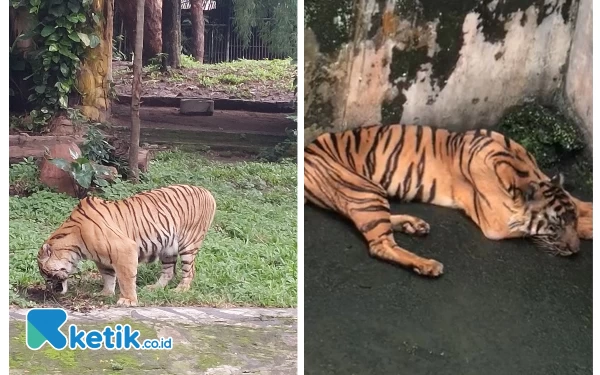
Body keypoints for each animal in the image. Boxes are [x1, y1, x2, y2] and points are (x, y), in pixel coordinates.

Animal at [37, 184, 217, 306]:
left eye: (46, 273)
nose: (50, 289)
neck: (76, 244)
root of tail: (206, 191)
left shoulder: (124, 249)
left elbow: (125, 278)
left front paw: (127, 300)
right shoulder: (102, 259)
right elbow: (108, 276)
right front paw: (105, 293)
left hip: (188, 244)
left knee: (189, 270)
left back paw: (180, 289)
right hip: (168, 248)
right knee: (168, 272)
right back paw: (154, 287)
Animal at [308, 125, 592, 278]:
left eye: (569, 220)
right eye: (554, 226)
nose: (575, 250)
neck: (523, 171)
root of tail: (306, 150)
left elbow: (579, 202)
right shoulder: (496, 222)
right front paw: (589, 229)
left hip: (370, 193)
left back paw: (414, 224)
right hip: (364, 189)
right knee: (380, 245)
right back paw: (427, 265)